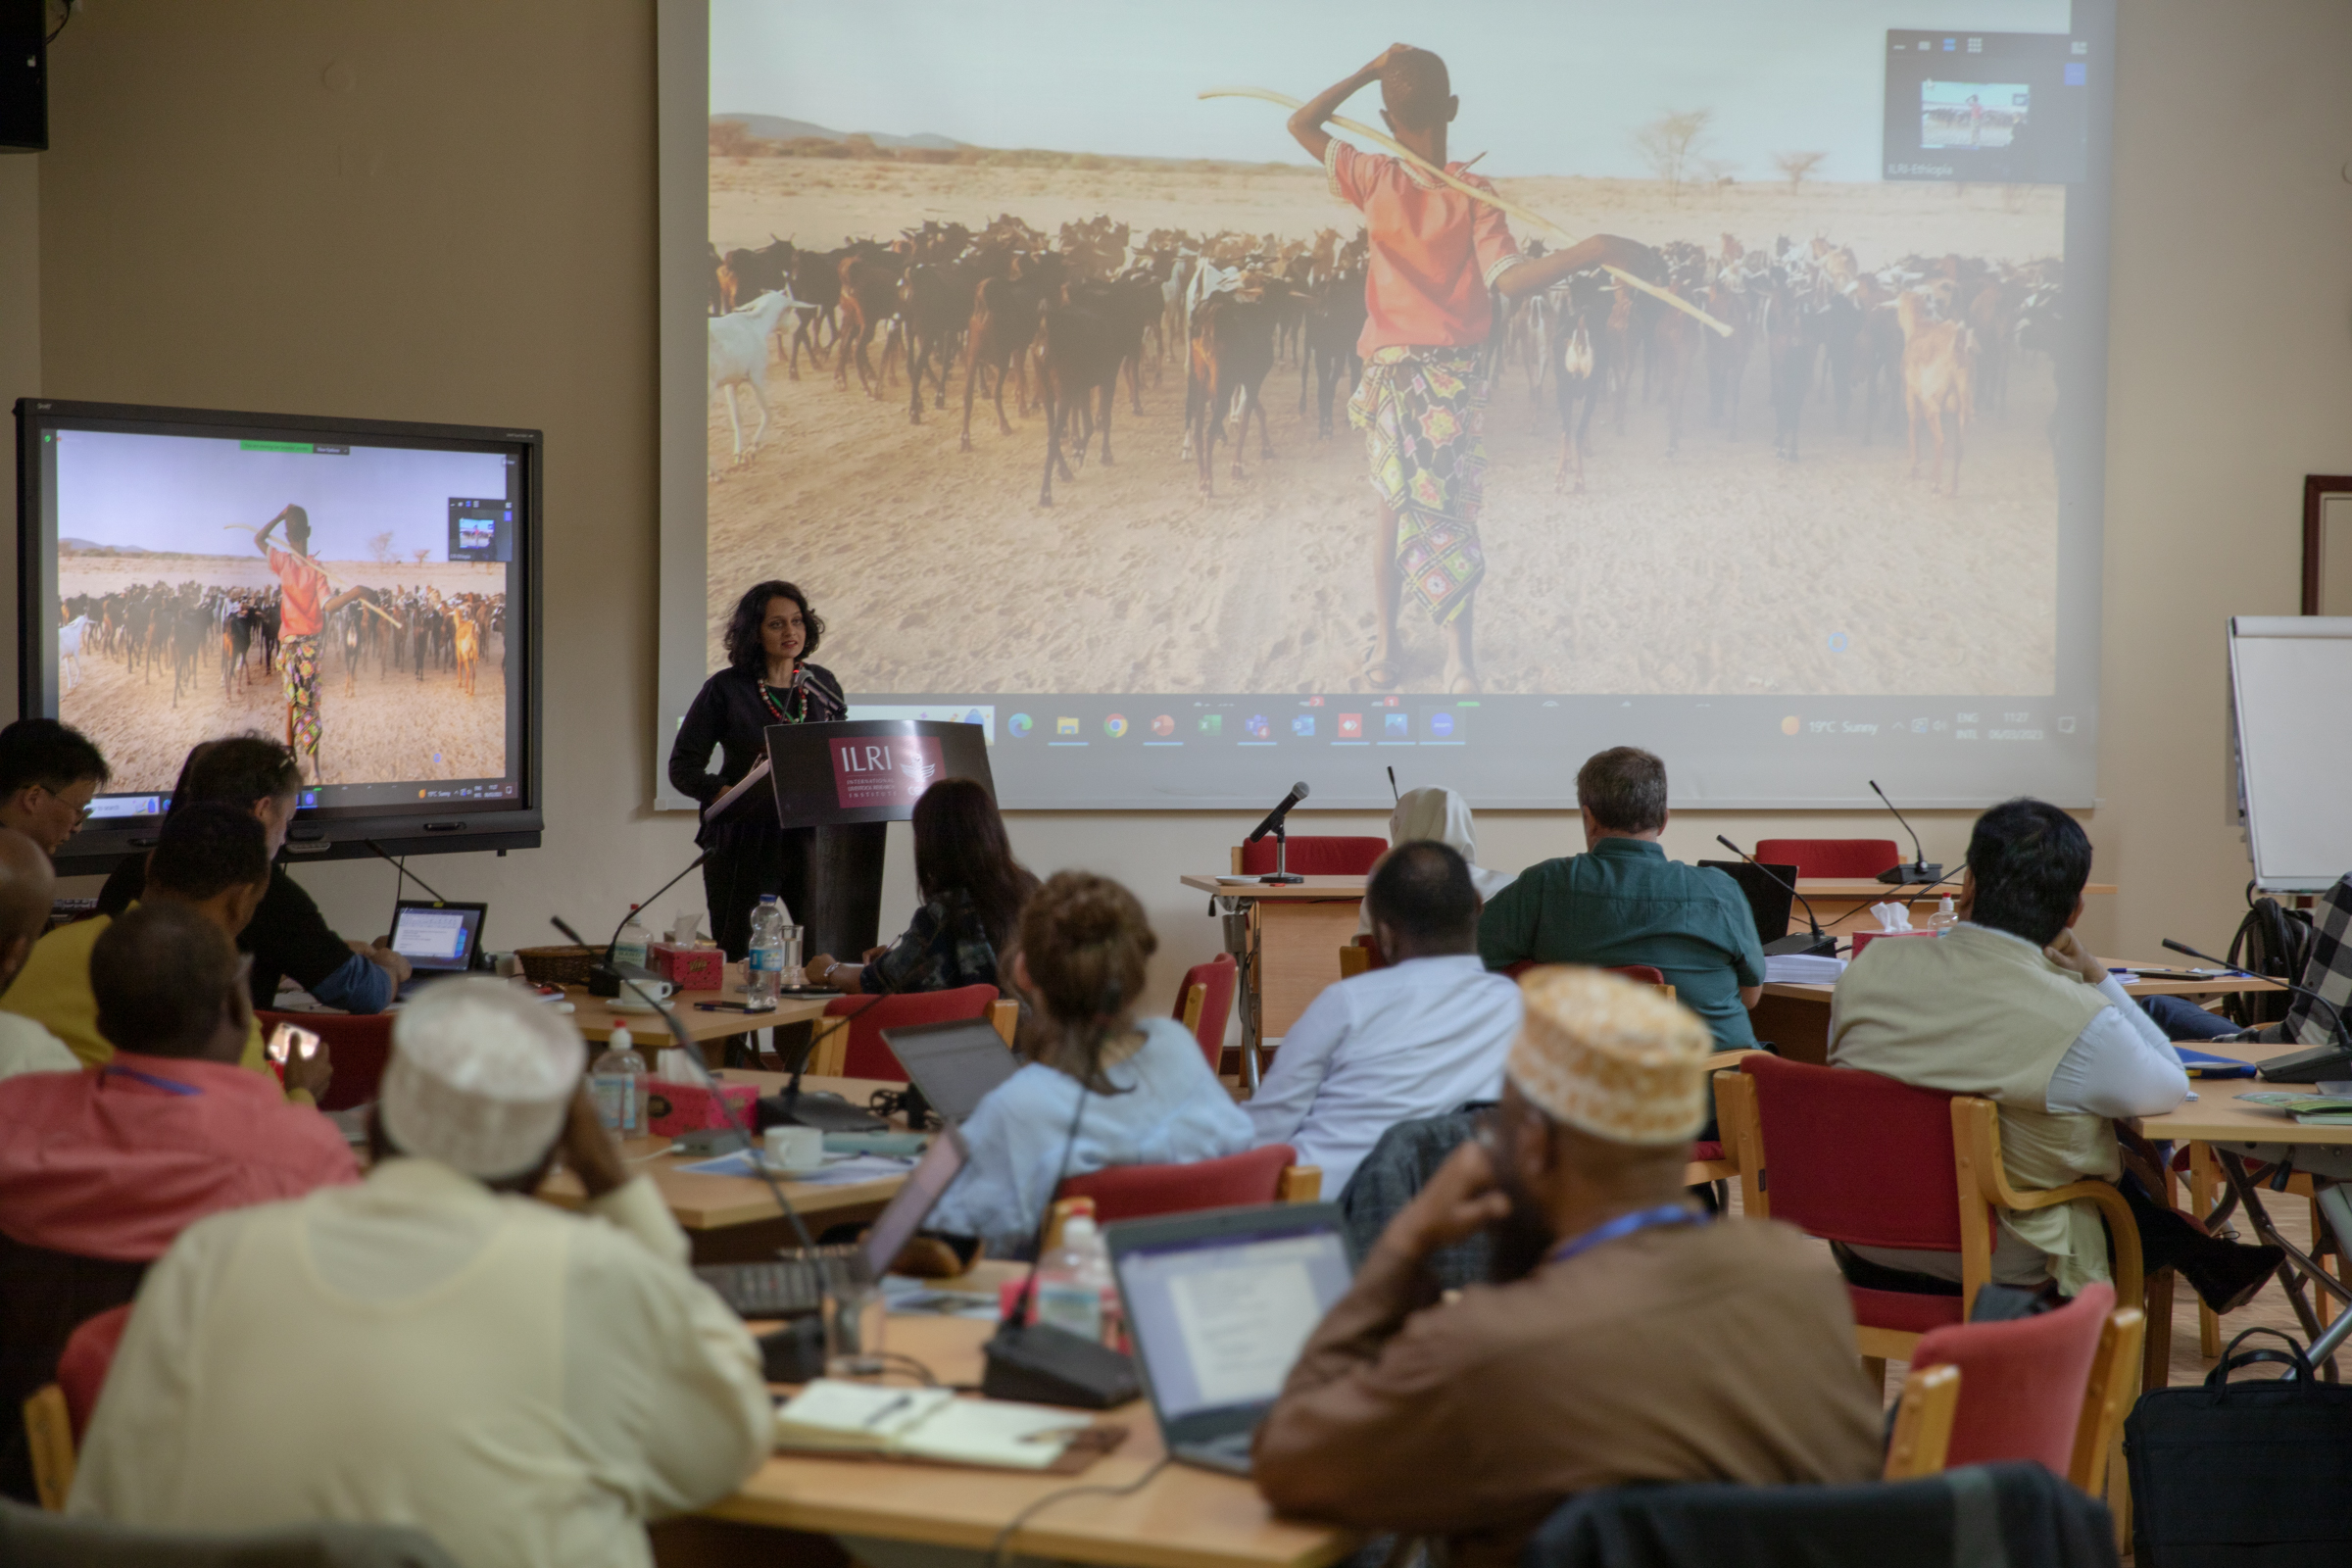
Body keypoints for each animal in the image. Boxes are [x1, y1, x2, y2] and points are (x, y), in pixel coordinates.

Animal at [706, 287, 800, 472]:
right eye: (789, 309)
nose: (789, 328)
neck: (754, 324)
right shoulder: (757, 376)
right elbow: (768, 413)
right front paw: (752, 450)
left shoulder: (731, 383)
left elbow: (737, 419)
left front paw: (739, 454)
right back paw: (714, 473)